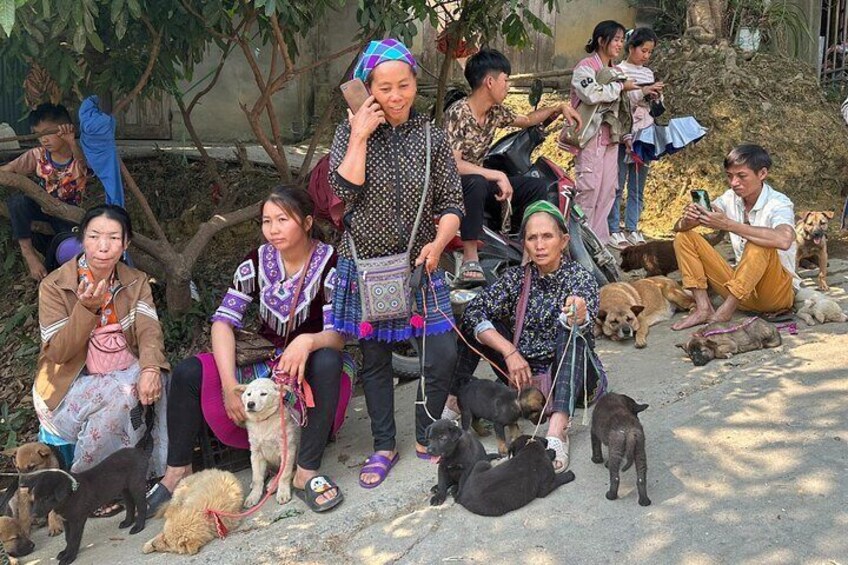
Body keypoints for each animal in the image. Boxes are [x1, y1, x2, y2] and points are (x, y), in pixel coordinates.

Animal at [19, 446, 149, 564]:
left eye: (46, 498)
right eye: (34, 498)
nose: (33, 515)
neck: (70, 495)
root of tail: (138, 450)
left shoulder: (77, 520)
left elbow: (74, 539)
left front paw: (69, 557)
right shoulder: (67, 521)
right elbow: (68, 538)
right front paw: (65, 552)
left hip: (136, 485)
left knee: (142, 505)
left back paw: (138, 526)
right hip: (124, 488)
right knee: (130, 504)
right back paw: (127, 522)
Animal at [235, 378, 302, 506]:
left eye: (263, 394)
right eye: (248, 394)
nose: (250, 404)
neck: (263, 422)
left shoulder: (288, 450)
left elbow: (284, 474)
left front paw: (283, 493)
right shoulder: (256, 453)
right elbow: (257, 478)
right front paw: (253, 496)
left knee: (293, 471)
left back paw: (273, 484)